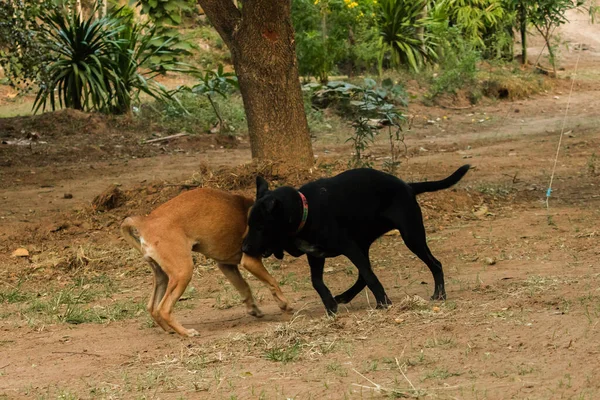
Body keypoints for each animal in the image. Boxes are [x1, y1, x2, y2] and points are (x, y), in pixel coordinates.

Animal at [120, 186, 290, 336]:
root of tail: (145, 222)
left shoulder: (227, 266)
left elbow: (245, 287)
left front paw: (253, 309)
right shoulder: (250, 262)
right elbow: (273, 282)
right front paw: (285, 305)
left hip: (163, 276)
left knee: (152, 308)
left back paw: (170, 330)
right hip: (183, 273)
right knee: (164, 309)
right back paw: (186, 332)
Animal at [241, 164, 472, 314]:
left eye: (260, 227)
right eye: (249, 224)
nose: (244, 248)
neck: (305, 211)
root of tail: (407, 186)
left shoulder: (348, 247)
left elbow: (370, 276)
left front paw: (383, 303)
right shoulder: (316, 255)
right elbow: (317, 281)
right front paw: (330, 305)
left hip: (411, 236)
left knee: (435, 263)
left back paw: (439, 294)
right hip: (366, 242)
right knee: (362, 274)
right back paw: (343, 296)